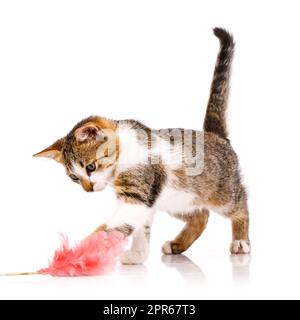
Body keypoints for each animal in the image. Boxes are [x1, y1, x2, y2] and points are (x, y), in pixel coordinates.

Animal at [34, 27, 250, 264]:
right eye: (74, 177)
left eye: (90, 167)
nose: (88, 189)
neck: (124, 150)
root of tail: (215, 135)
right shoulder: (145, 200)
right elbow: (140, 227)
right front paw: (138, 253)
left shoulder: (137, 194)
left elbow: (113, 227)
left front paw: (78, 254)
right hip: (175, 199)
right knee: (201, 215)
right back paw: (177, 245)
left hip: (221, 193)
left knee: (240, 204)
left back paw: (241, 241)